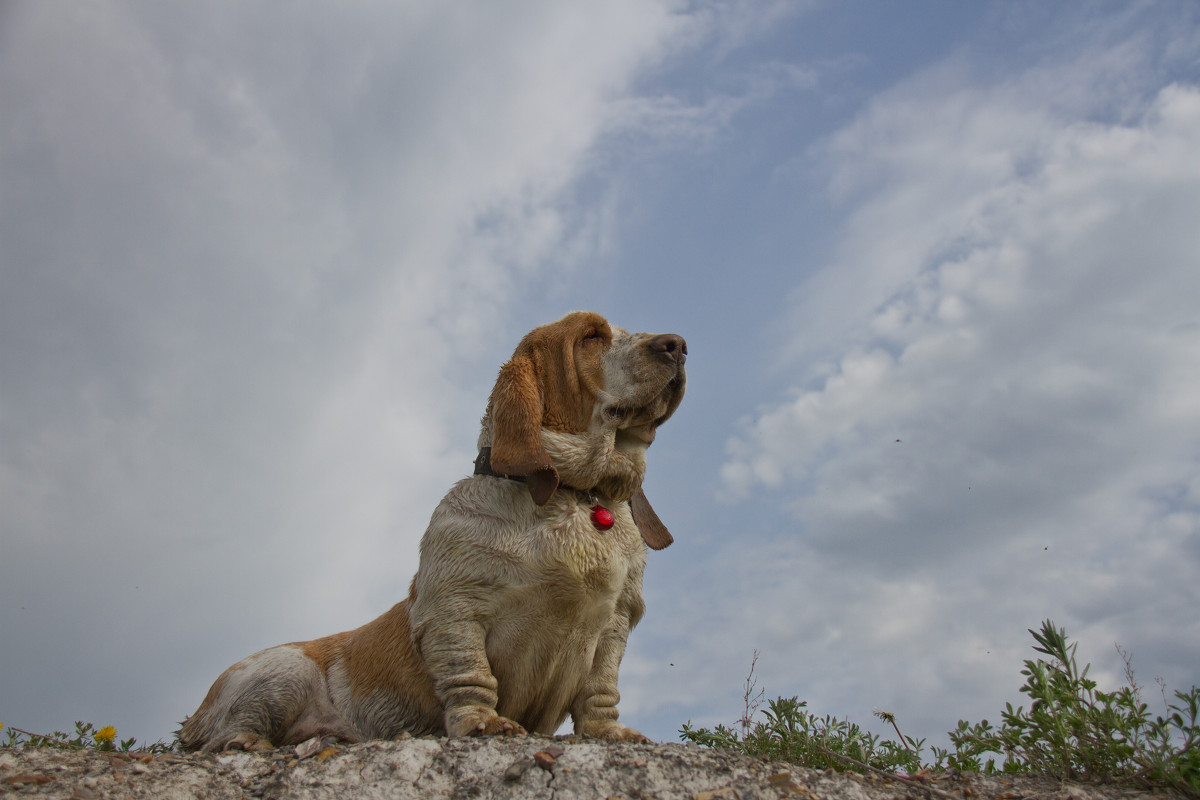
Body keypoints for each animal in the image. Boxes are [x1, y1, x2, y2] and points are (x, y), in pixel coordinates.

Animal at [176, 311, 686, 753]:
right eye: (591, 336)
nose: (677, 345)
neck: (577, 497)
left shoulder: (615, 622)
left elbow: (600, 690)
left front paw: (609, 733)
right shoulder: (454, 610)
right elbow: (471, 675)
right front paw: (484, 724)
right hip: (283, 673)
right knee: (229, 732)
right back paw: (250, 741)